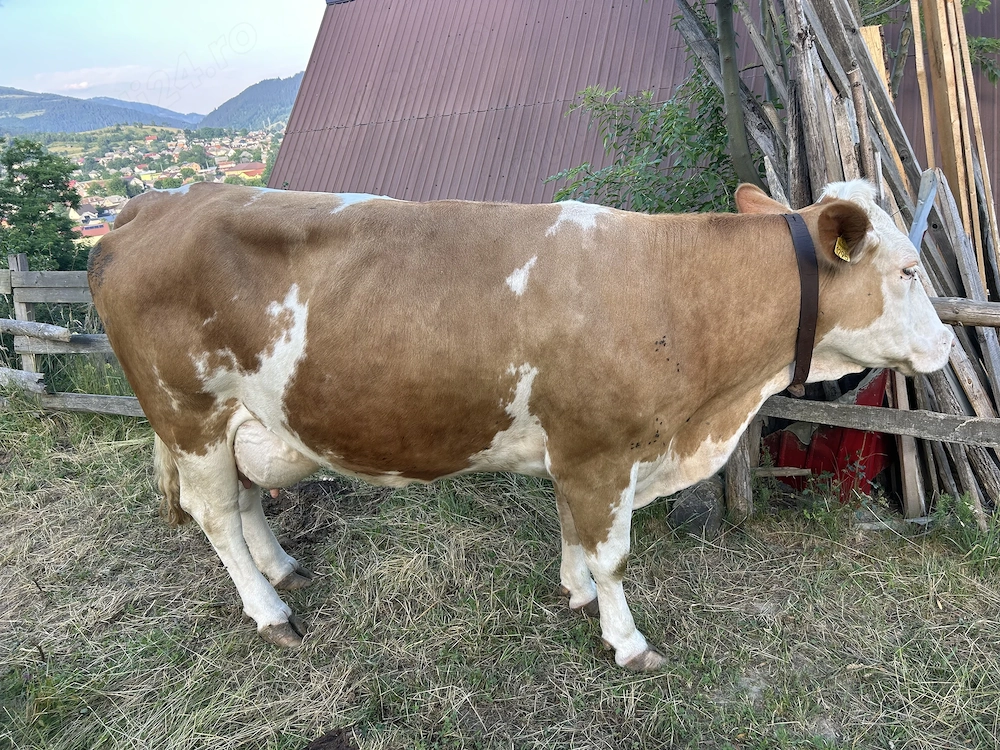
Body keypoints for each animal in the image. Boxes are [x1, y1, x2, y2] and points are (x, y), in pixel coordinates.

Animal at [88, 180, 951, 670]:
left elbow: (573, 532)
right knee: (213, 515)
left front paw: (575, 594)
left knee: (243, 502)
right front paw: (627, 642)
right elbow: (613, 556)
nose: (947, 345)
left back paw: (282, 570)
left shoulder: (579, 452)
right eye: (910, 270)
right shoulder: (603, 451)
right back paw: (270, 613)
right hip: (189, 411)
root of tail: (155, 204)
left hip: (246, 415)